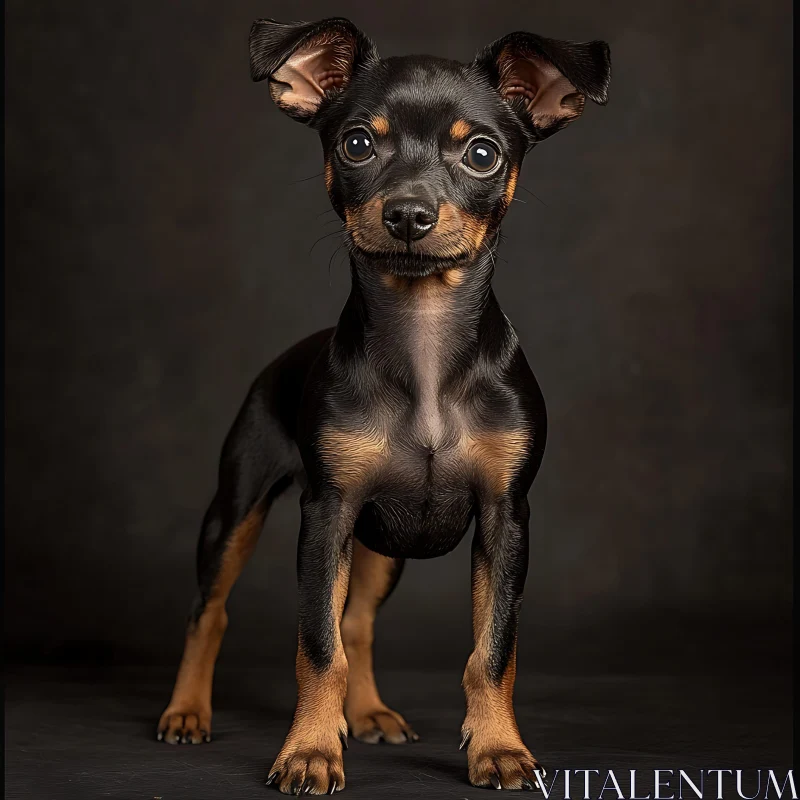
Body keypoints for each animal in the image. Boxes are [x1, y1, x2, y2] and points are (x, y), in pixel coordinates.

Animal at [158, 17, 612, 792]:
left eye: (483, 153)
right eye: (357, 145)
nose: (407, 214)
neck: (423, 345)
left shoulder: (506, 517)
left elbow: (491, 649)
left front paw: (498, 748)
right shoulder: (328, 514)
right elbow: (318, 646)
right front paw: (309, 753)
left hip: (380, 550)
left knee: (359, 622)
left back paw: (367, 714)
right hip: (238, 508)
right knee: (209, 612)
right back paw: (188, 712)